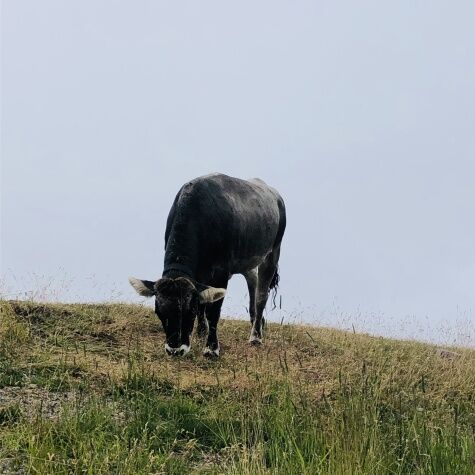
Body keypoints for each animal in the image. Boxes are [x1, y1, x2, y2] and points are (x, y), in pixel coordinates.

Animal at [129, 173, 286, 356]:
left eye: (189, 311)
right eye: (158, 311)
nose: (175, 349)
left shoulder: (221, 272)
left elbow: (213, 311)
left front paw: (211, 348)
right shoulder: (200, 274)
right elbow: (203, 301)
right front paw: (201, 332)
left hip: (273, 252)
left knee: (262, 295)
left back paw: (256, 336)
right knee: (252, 279)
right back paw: (257, 321)